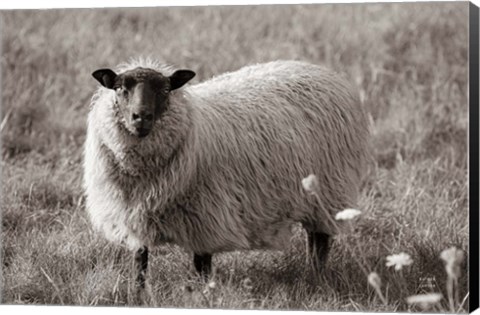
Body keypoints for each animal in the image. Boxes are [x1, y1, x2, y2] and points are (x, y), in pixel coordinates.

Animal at [84, 58, 372, 290]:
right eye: (120, 88)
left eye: (165, 90)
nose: (141, 117)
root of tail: (320, 70)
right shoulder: (133, 218)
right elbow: (140, 263)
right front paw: (139, 294)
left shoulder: (204, 219)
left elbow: (202, 265)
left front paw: (202, 295)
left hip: (329, 190)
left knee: (320, 241)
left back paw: (316, 276)